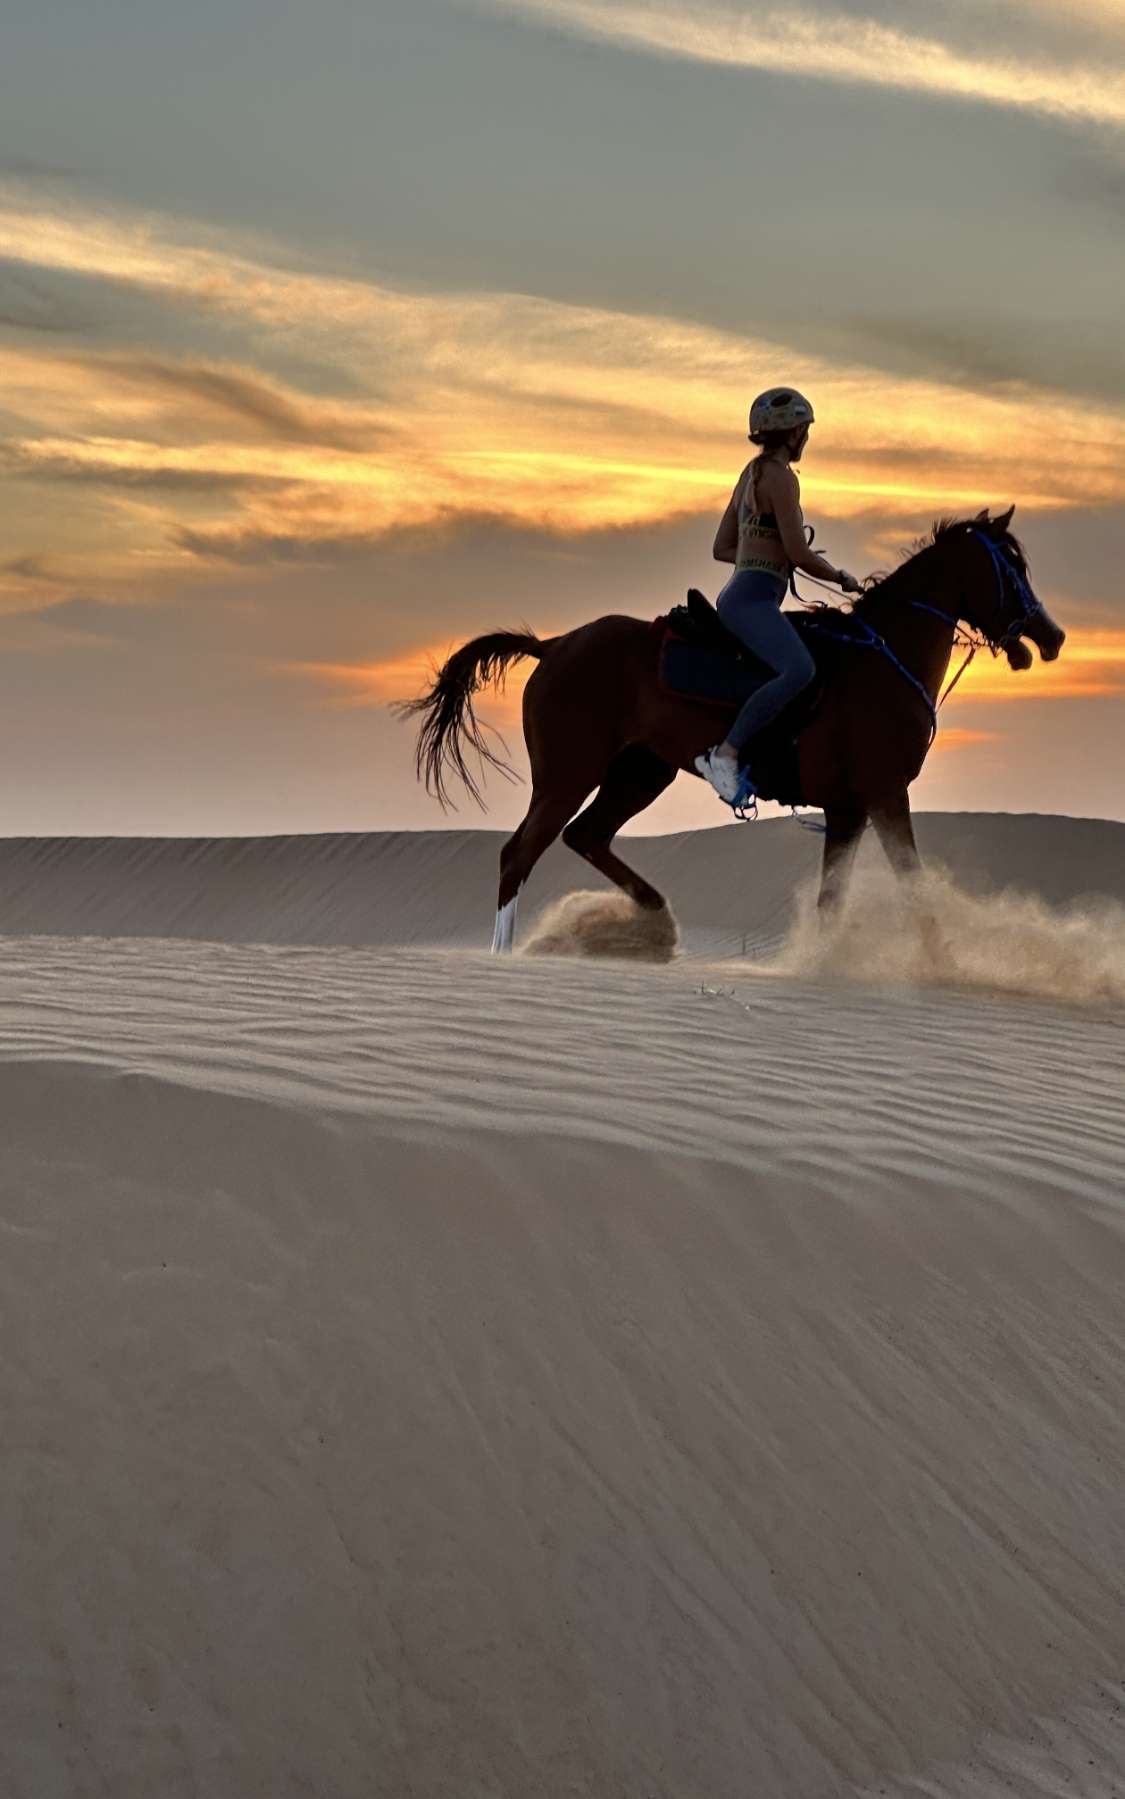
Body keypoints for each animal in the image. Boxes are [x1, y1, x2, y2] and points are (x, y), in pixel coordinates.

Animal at [403, 507, 1065, 952]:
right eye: (1011, 567)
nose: (1052, 636)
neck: (883, 657)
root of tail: (555, 645)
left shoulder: (848, 810)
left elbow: (832, 901)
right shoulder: (884, 796)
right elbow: (913, 883)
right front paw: (937, 962)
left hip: (642, 771)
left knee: (586, 836)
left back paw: (656, 921)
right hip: (570, 772)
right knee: (520, 853)